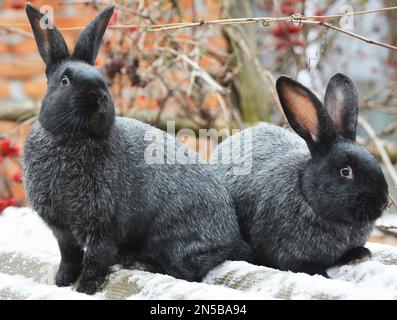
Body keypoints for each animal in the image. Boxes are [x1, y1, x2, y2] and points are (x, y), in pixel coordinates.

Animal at [22, 4, 251, 296]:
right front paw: (62, 281)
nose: (99, 95)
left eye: (103, 79)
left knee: (183, 270)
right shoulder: (63, 230)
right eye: (64, 81)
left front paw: (85, 288)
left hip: (173, 238)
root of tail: (232, 236)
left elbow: (96, 257)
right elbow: (69, 255)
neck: (72, 139)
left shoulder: (104, 224)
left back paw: (137, 262)